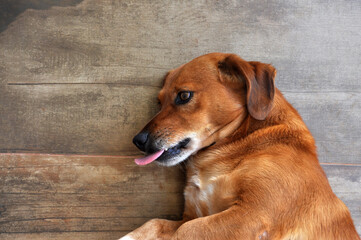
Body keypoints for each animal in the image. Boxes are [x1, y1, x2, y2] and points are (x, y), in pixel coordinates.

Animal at [120, 53, 358, 240]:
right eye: (159, 103)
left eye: (184, 95)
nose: (138, 140)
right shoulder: (193, 215)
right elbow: (155, 223)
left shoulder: (251, 215)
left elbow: (185, 231)